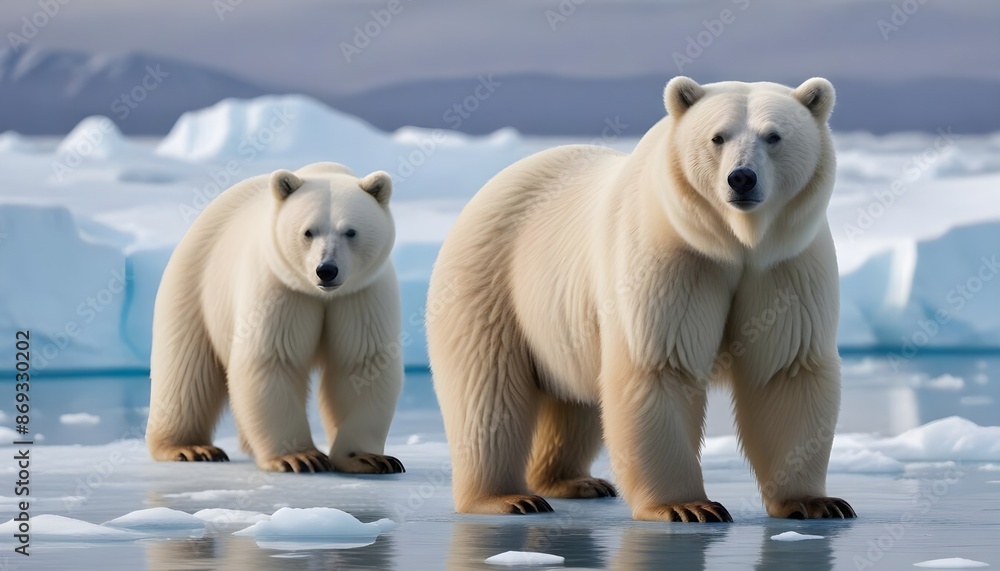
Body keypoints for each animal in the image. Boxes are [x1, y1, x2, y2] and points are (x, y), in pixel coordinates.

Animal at [147, 162, 405, 475]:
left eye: (350, 231)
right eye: (308, 232)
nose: (326, 270)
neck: (319, 293)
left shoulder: (360, 295)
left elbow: (362, 364)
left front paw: (369, 458)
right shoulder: (280, 289)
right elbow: (273, 359)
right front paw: (300, 456)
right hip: (193, 284)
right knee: (186, 370)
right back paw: (190, 448)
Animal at [426, 77, 855, 521]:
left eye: (774, 135)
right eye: (717, 136)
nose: (741, 178)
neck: (733, 243)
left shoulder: (785, 266)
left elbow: (786, 369)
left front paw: (816, 501)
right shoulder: (672, 258)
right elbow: (660, 366)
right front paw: (688, 505)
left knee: (576, 399)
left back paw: (574, 481)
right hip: (490, 280)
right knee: (487, 390)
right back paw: (508, 497)